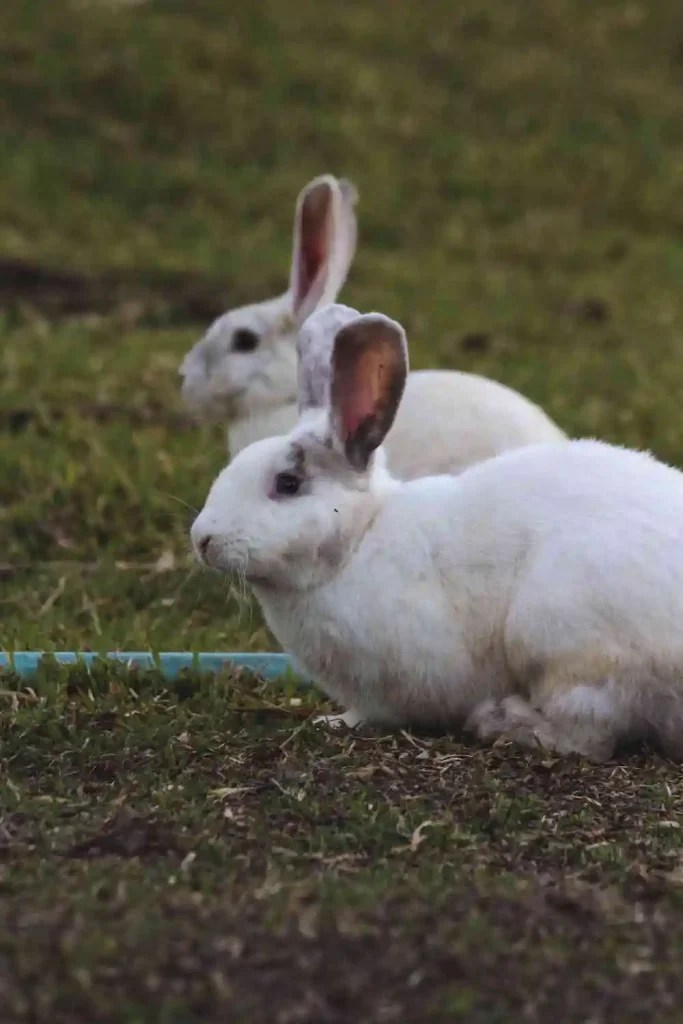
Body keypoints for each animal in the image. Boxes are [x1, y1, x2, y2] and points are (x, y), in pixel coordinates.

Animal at [190, 303, 683, 763]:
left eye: (288, 484)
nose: (202, 539)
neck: (358, 540)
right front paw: (332, 720)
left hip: (567, 645)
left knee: (587, 735)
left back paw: (500, 721)